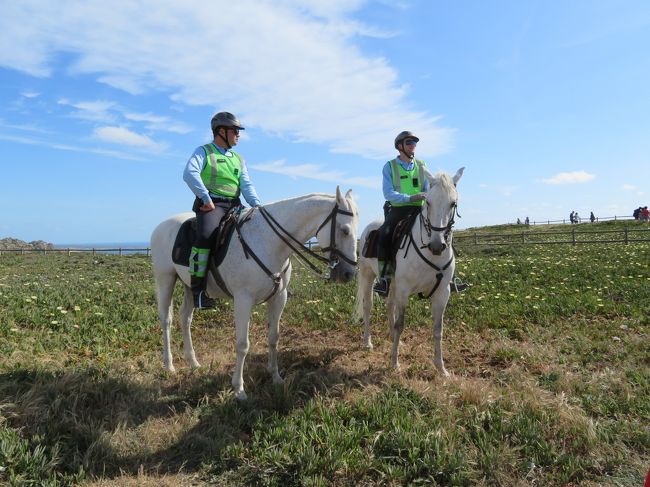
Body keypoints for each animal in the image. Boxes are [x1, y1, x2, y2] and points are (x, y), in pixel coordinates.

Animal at [151, 187, 359, 400]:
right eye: (345, 230)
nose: (349, 273)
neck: (268, 242)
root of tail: (161, 226)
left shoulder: (279, 298)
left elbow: (274, 338)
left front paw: (276, 377)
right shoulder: (243, 300)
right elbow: (243, 345)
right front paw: (239, 389)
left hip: (189, 286)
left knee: (185, 318)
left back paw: (193, 363)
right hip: (165, 279)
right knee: (166, 320)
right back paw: (169, 365)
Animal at [353, 167, 464, 375]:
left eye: (453, 203)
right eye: (428, 202)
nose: (437, 245)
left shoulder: (442, 293)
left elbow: (438, 329)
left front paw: (441, 368)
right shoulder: (404, 291)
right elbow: (401, 324)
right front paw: (394, 363)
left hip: (393, 283)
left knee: (389, 305)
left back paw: (392, 339)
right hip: (367, 275)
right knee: (368, 306)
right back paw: (367, 342)